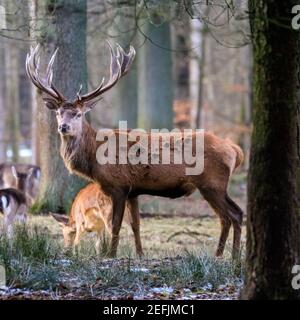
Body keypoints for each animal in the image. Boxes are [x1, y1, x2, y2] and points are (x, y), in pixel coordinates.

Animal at [25, 42, 244, 258]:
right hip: (218, 185)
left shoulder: (118, 185)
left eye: (78, 114)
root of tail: (235, 150)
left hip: (211, 183)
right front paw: (140, 254)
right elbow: (136, 225)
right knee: (237, 213)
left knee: (229, 216)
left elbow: (115, 225)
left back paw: (224, 256)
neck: (94, 158)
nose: (64, 127)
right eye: (59, 113)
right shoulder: (133, 191)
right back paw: (230, 256)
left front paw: (111, 255)